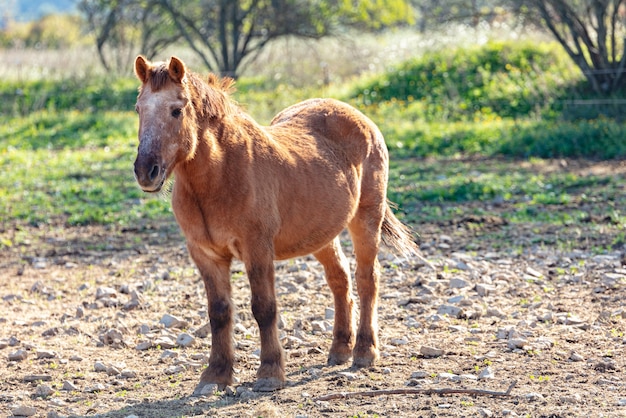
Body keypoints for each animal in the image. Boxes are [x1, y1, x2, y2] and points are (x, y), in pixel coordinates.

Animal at [132, 56, 424, 396]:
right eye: (139, 109)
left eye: (176, 110)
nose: (146, 171)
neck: (220, 174)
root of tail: (360, 118)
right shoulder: (206, 255)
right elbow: (219, 312)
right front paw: (216, 375)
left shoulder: (257, 249)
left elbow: (264, 307)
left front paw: (270, 372)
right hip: (321, 233)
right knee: (340, 281)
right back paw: (340, 349)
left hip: (366, 218)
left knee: (367, 280)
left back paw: (364, 352)